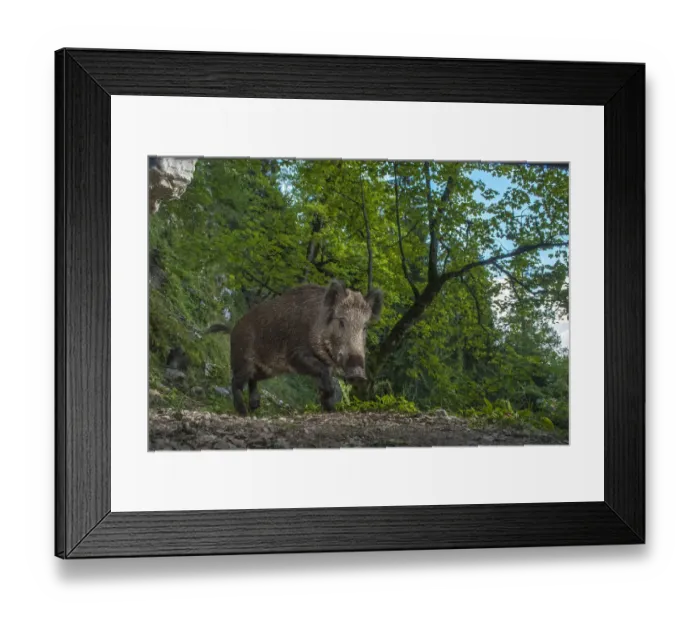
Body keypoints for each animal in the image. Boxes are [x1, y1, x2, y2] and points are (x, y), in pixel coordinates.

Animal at [208, 280, 383, 415]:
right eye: (341, 321)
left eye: (365, 327)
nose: (358, 375)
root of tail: (232, 329)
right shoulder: (295, 355)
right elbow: (324, 376)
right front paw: (329, 400)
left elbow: (324, 380)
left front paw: (330, 408)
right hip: (242, 360)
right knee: (235, 382)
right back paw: (243, 412)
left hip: (263, 370)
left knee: (252, 381)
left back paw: (255, 407)